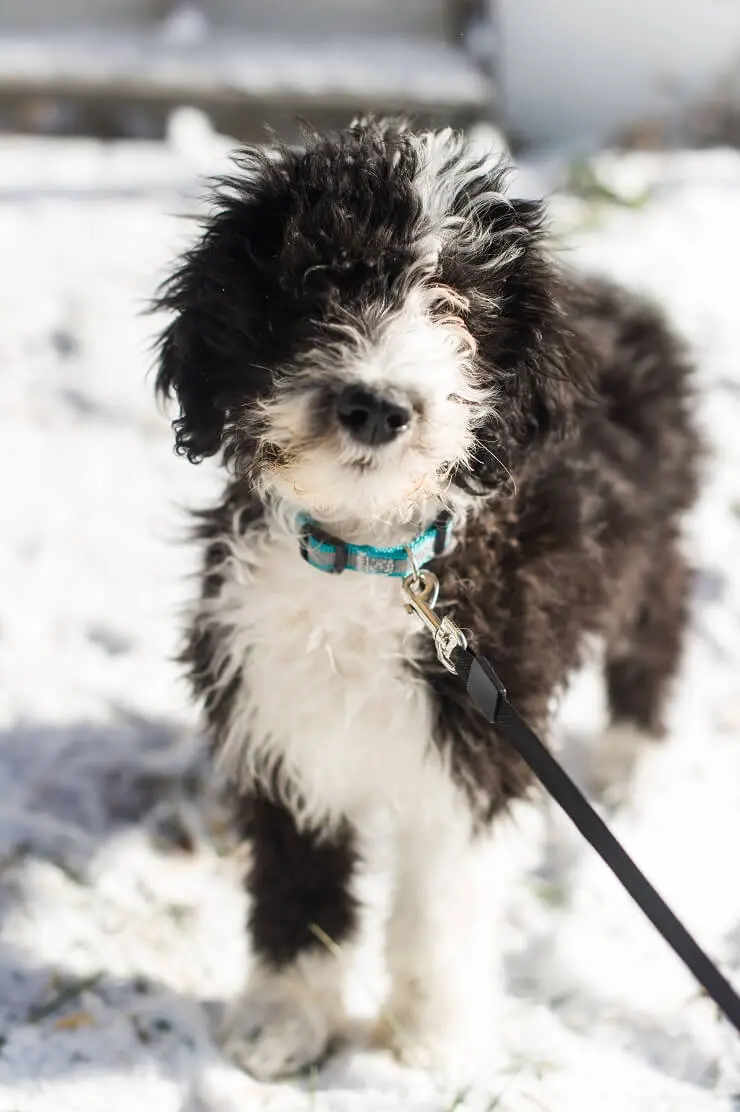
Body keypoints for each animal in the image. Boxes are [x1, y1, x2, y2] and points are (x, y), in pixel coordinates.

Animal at [154, 119, 698, 1076]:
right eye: (317, 280)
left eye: (455, 305)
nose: (375, 405)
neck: (371, 557)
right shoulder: (279, 715)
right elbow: (297, 883)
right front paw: (284, 1019)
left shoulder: (479, 746)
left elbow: (442, 901)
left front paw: (431, 1039)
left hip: (651, 549)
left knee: (658, 630)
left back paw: (632, 762)